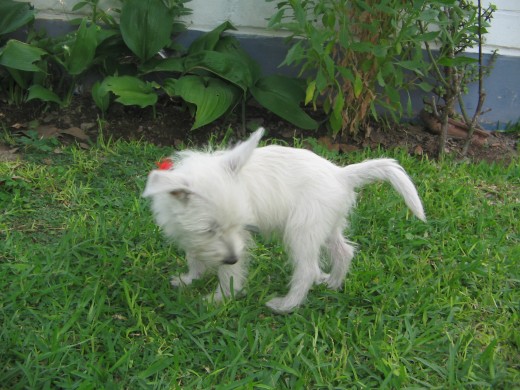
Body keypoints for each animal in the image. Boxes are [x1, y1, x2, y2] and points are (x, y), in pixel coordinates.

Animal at [141, 128, 422, 314]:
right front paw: (190, 279)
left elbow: (229, 273)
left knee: (307, 269)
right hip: (327, 225)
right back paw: (333, 283)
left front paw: (220, 298)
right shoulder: (190, 234)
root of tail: (341, 174)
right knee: (344, 251)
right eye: (209, 230)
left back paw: (286, 305)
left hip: (302, 231)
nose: (231, 257)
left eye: (238, 224)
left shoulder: (239, 241)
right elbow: (194, 255)